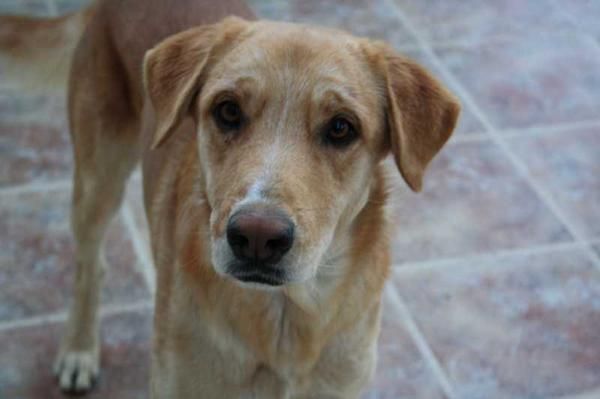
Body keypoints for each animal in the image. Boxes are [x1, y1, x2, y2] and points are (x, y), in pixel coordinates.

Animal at [1, 1, 460, 398]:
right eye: (228, 110)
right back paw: (79, 349)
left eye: (341, 127)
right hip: (97, 180)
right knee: (89, 266)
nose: (257, 236)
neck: (283, 319)